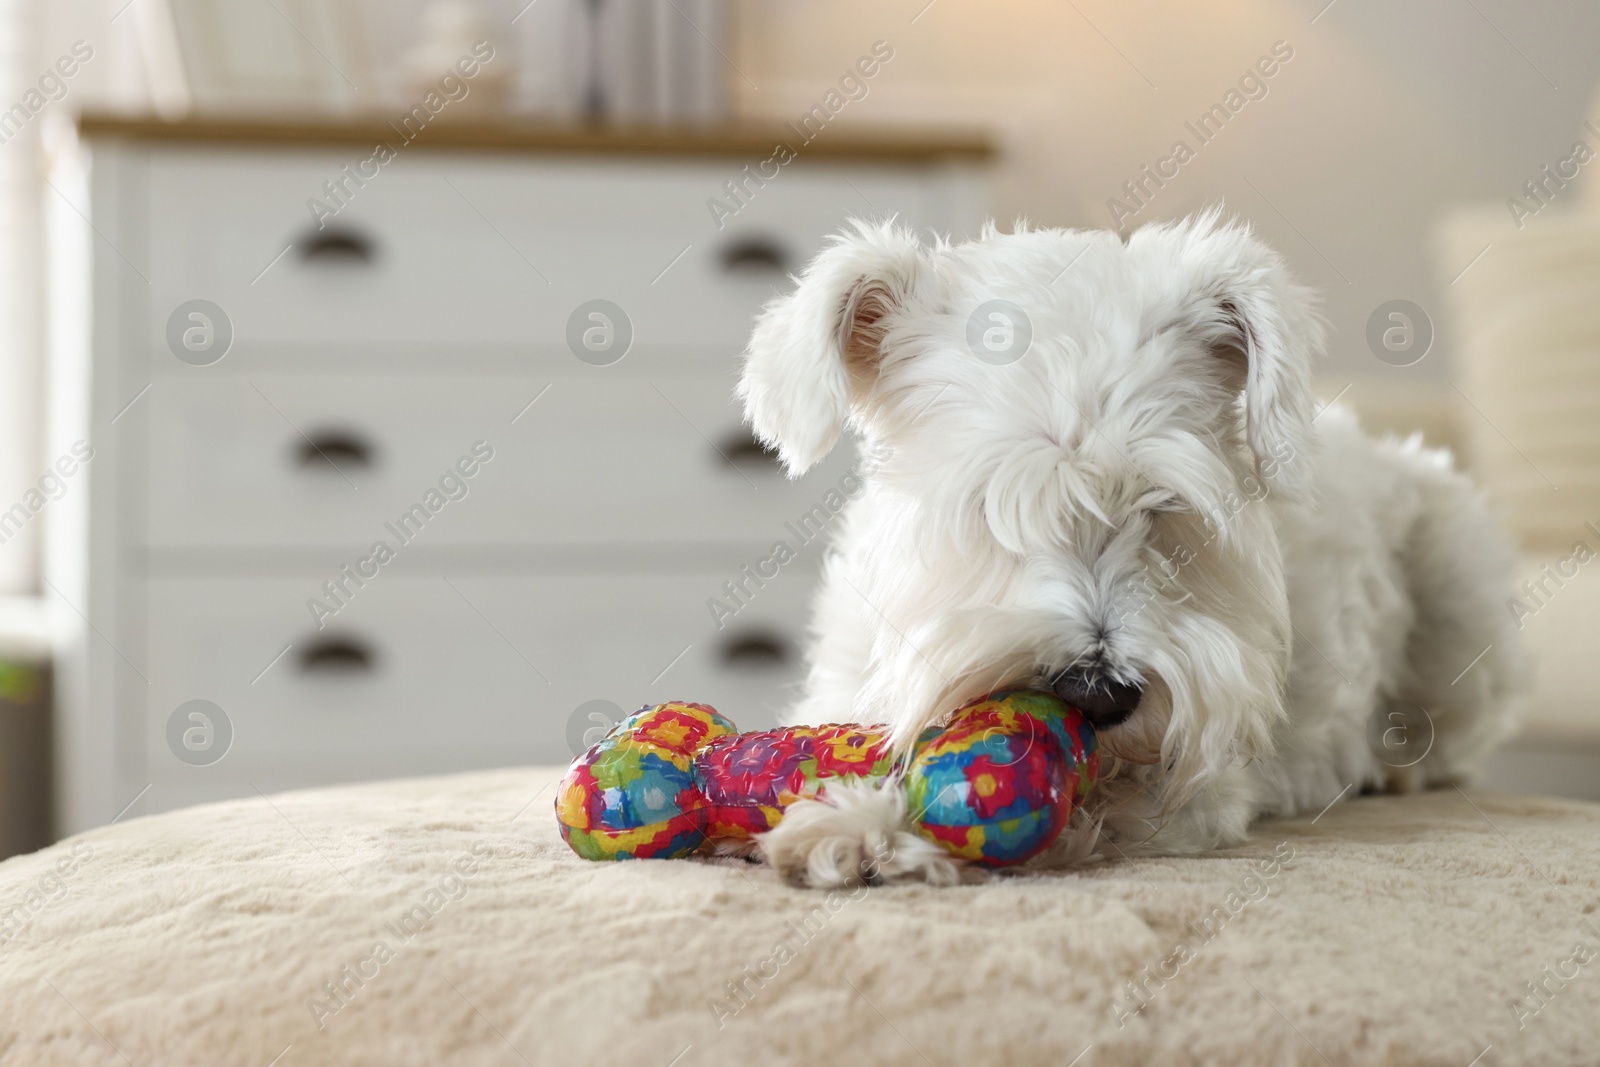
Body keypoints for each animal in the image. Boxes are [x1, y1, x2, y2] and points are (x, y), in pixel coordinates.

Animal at [736, 212, 1523, 889]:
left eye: (1159, 508)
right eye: (989, 506)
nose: (1100, 690)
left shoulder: (1203, 776)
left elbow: (1098, 803)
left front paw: (877, 825)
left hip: (1461, 583)